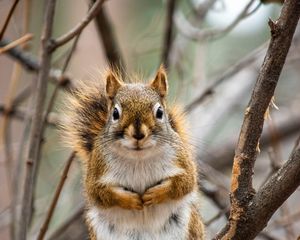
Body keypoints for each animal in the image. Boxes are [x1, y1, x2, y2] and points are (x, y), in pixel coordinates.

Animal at [61, 66, 206, 240]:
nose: (138, 134)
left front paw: (155, 194)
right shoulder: (97, 169)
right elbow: (98, 192)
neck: (139, 157)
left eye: (160, 112)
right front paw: (130, 200)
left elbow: (184, 182)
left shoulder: (180, 160)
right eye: (115, 113)